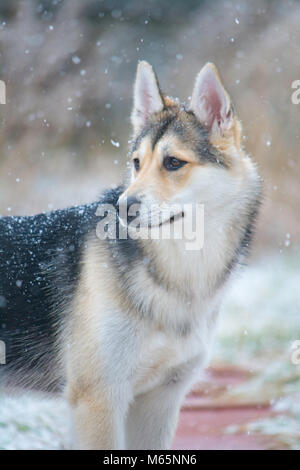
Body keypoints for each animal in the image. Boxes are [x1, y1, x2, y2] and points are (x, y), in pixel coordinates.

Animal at [0, 61, 260, 448]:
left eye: (173, 162)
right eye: (137, 163)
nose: (123, 207)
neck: (180, 272)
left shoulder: (161, 399)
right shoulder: (99, 399)